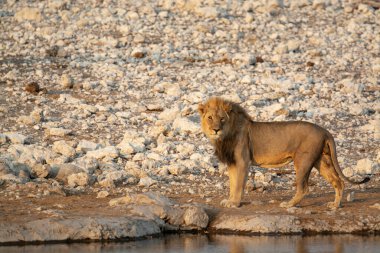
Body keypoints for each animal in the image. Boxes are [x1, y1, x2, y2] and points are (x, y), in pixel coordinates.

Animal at [197, 97, 370, 210]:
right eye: (210, 117)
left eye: (222, 119)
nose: (216, 129)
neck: (224, 136)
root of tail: (325, 131)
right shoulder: (232, 163)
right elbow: (233, 184)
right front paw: (230, 201)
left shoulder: (242, 162)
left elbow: (238, 184)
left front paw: (234, 203)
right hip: (321, 161)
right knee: (338, 182)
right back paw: (335, 205)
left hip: (302, 161)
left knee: (304, 188)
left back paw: (289, 204)